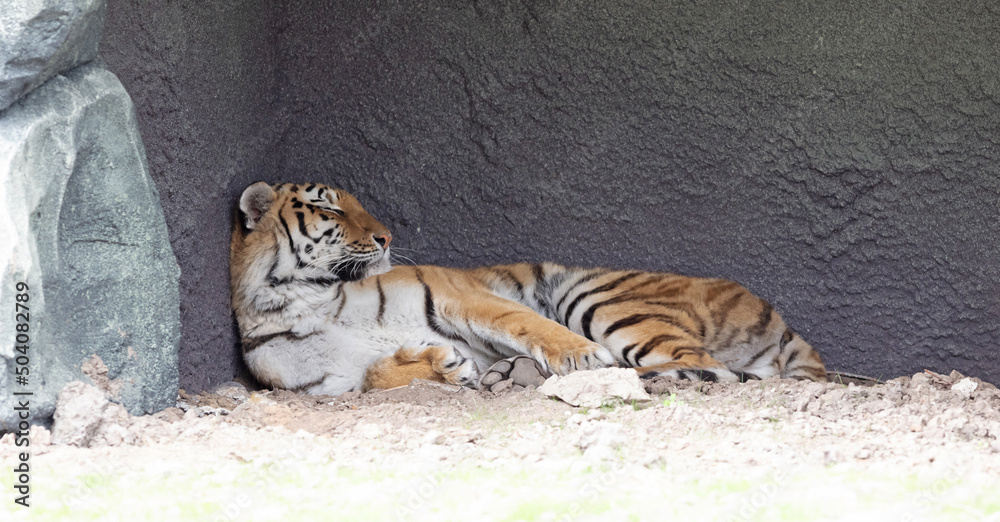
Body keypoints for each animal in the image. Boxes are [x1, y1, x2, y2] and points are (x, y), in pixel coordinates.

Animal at [230, 181, 827, 396]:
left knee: (704, 366)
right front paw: (443, 364)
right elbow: (376, 374)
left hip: (600, 298)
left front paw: (580, 358)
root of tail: (779, 318)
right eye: (330, 207)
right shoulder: (334, 382)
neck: (301, 297)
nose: (386, 237)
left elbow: (525, 321)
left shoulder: (459, 294)